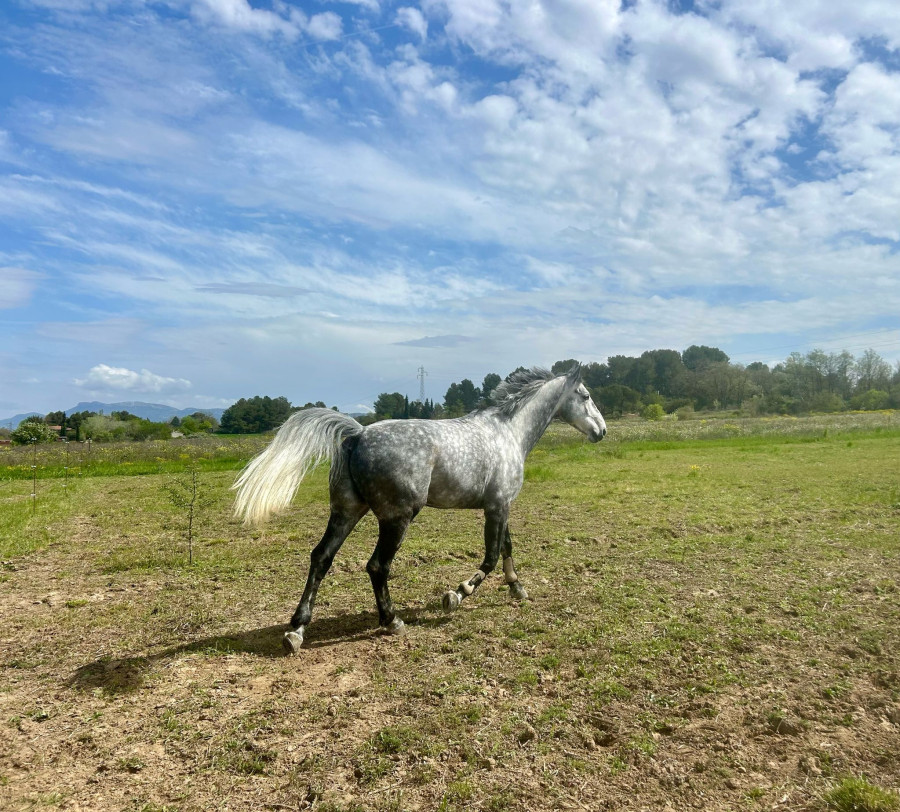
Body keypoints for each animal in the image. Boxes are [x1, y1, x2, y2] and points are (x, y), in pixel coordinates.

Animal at [232, 365, 606, 655]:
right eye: (586, 395)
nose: (601, 431)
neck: (508, 433)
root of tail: (358, 434)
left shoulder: (500, 505)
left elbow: (507, 548)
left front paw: (517, 589)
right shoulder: (498, 506)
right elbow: (490, 555)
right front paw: (456, 595)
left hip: (346, 512)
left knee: (321, 557)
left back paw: (296, 631)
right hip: (397, 518)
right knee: (376, 566)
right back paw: (392, 621)